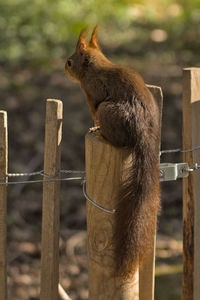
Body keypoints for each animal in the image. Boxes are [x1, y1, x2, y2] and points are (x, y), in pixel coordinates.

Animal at [65, 25, 160, 278]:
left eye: (70, 62)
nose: (64, 69)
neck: (94, 66)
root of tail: (143, 130)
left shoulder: (93, 92)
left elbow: (93, 107)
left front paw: (94, 126)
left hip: (108, 111)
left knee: (117, 139)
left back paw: (101, 134)